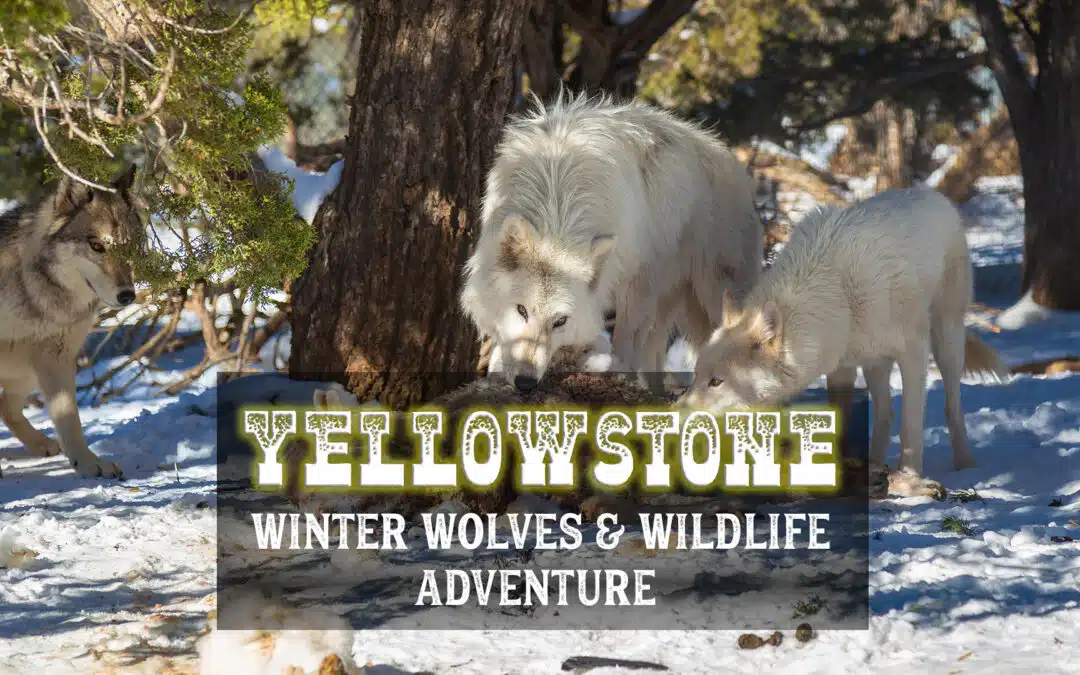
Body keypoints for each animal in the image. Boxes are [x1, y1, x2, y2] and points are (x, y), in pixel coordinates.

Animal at [0, 166, 141, 479]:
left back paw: (43, 445)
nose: (128, 295)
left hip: (30, 368)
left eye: (130, 247)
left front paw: (89, 464)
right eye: (97, 245)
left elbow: (70, 420)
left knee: (6, 406)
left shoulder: (59, 356)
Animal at [460, 92, 762, 392]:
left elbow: (626, 339)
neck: (557, 196)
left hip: (713, 294)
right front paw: (497, 368)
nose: (525, 383)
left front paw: (617, 374)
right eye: (521, 310)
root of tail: (737, 168)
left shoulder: (639, 278)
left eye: (560, 321)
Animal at [680, 187, 1010, 497]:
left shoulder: (913, 353)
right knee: (885, 413)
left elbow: (911, 428)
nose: (676, 412)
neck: (838, 294)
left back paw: (964, 464)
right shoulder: (841, 367)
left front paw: (911, 479)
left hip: (946, 341)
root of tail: (933, 194)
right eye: (696, 376)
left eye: (717, 381)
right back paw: (876, 464)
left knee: (951, 406)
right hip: (875, 363)